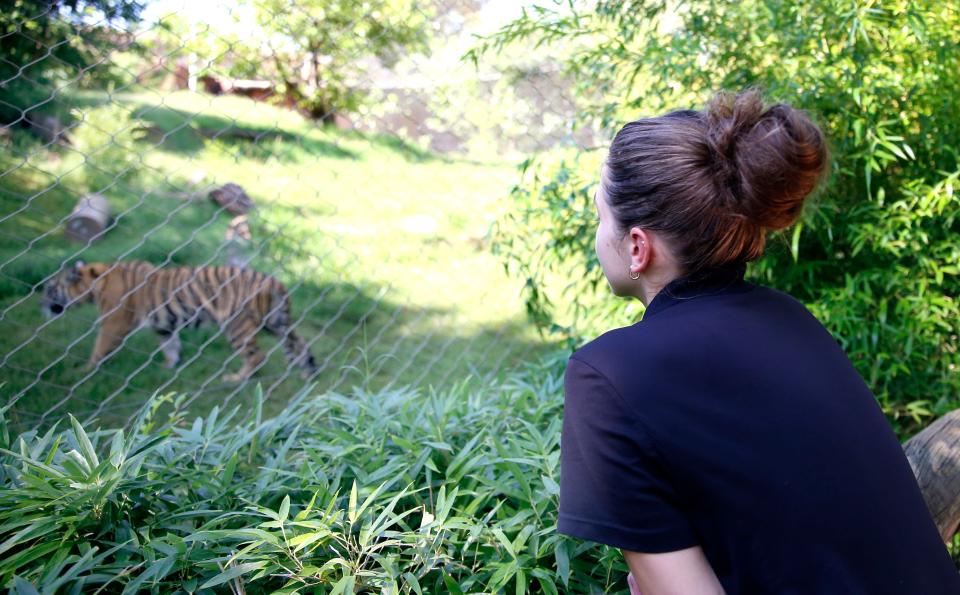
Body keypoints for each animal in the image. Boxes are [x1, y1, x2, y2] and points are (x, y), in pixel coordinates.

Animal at [41, 260, 318, 382]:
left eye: (49, 288)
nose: (40, 305)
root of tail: (274, 281)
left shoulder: (114, 322)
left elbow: (99, 347)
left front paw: (85, 370)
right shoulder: (163, 326)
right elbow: (170, 346)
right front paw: (168, 367)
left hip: (236, 325)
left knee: (257, 355)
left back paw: (237, 379)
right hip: (276, 323)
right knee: (301, 344)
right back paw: (308, 373)